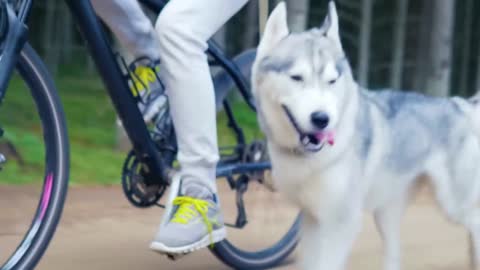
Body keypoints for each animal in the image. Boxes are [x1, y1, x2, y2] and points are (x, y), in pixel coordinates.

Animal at [251, 2, 480, 270]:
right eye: (296, 78)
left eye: (332, 81)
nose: (322, 118)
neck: (309, 160)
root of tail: (459, 104)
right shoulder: (312, 220)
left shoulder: (341, 223)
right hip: (386, 213)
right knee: (394, 254)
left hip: (452, 204)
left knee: (475, 223)